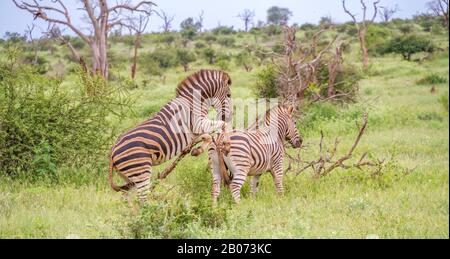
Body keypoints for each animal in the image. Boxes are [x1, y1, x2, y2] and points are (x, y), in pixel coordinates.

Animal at [110, 69, 232, 203]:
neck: (194, 102)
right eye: (229, 95)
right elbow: (221, 126)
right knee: (142, 200)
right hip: (141, 171)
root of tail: (112, 153)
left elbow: (207, 137)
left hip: (129, 177)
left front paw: (196, 150)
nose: (229, 116)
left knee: (127, 198)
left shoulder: (195, 132)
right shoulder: (198, 124)